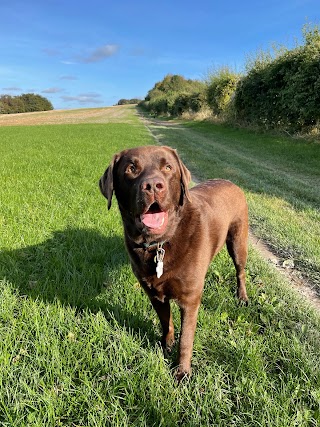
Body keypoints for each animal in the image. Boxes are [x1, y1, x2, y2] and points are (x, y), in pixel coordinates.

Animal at [99, 145, 249, 380]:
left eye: (168, 167)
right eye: (131, 168)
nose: (153, 185)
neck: (160, 243)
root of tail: (230, 182)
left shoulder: (189, 300)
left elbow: (186, 339)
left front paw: (182, 372)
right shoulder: (154, 293)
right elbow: (166, 322)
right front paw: (165, 346)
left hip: (238, 241)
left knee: (240, 271)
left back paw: (242, 297)